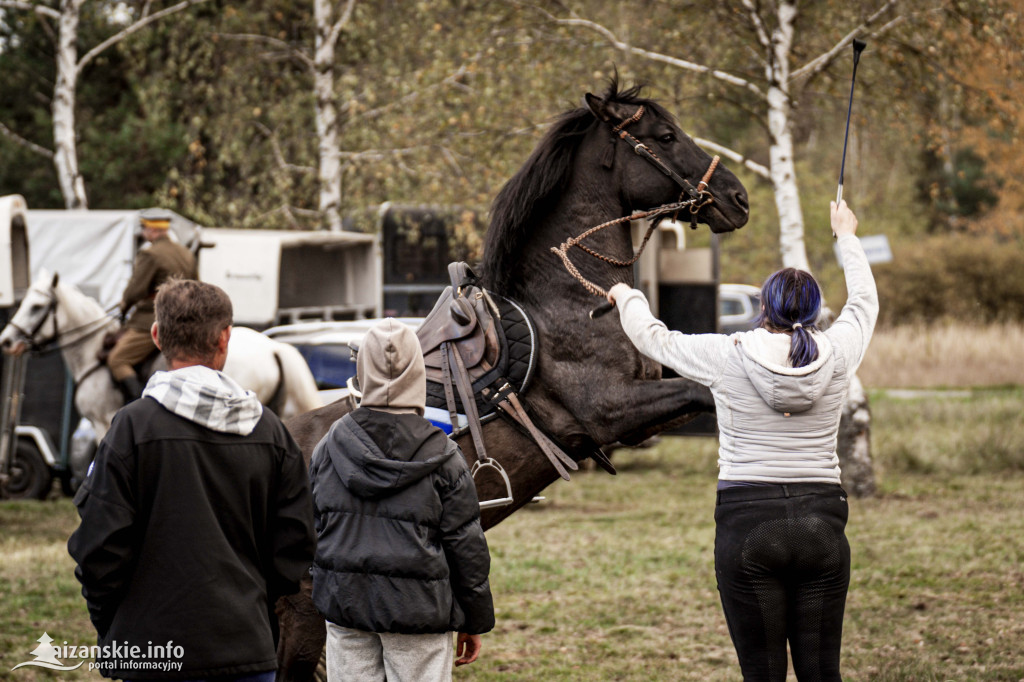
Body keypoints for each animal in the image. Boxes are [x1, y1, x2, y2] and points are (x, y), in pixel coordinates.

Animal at [276, 78, 749, 675]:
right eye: (665, 136)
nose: (738, 199)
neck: (569, 299)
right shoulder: (612, 409)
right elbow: (702, 391)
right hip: (303, 615)